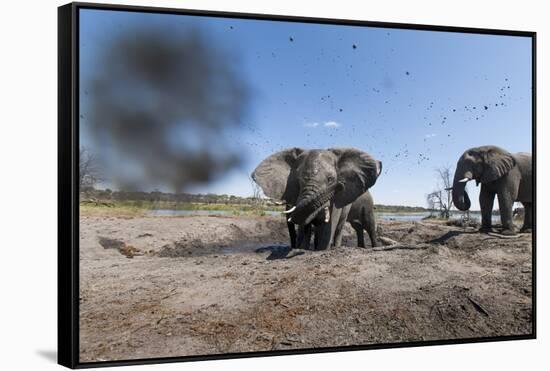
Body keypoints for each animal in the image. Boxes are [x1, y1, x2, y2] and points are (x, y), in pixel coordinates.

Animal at [252, 147, 382, 250]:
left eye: (330, 179)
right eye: (298, 179)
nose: (340, 184)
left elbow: (329, 225)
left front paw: (321, 249)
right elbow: (306, 224)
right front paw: (304, 248)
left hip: (367, 205)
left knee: (366, 226)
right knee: (357, 227)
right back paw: (360, 247)